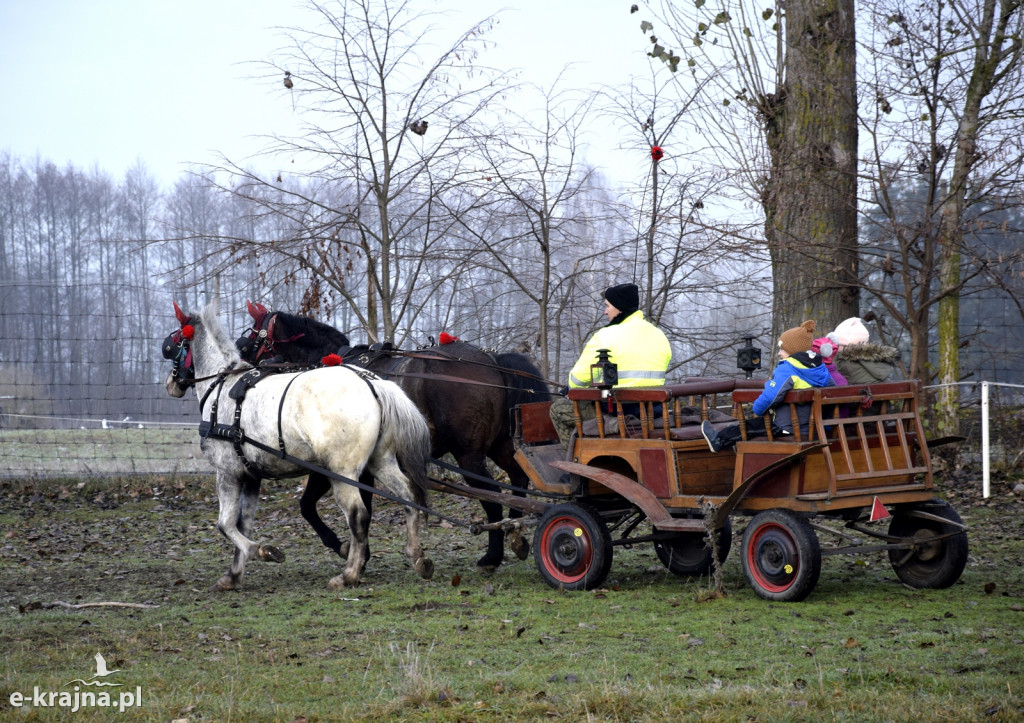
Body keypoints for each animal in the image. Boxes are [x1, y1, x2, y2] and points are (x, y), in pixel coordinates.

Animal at [235, 299, 552, 569]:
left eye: (253, 332)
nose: (239, 351)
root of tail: (493, 361)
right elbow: (362, 507)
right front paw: (361, 554)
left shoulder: (332, 462)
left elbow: (309, 506)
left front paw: (348, 550)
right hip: (500, 445)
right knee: (518, 480)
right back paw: (515, 535)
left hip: (469, 455)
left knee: (492, 497)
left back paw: (493, 555)